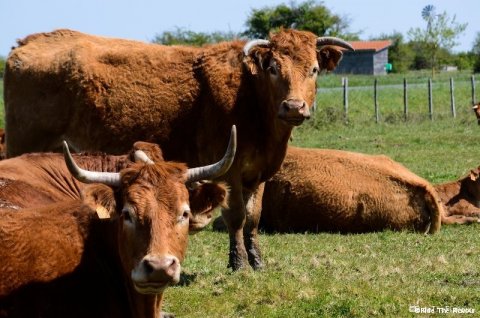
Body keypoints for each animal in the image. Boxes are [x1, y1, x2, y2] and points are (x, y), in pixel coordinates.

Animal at [2, 28, 352, 270]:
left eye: (313, 69)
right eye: (274, 68)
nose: (294, 107)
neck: (249, 96)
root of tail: (28, 43)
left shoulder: (259, 172)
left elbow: (253, 218)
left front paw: (256, 261)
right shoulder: (229, 171)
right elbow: (237, 217)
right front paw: (238, 263)